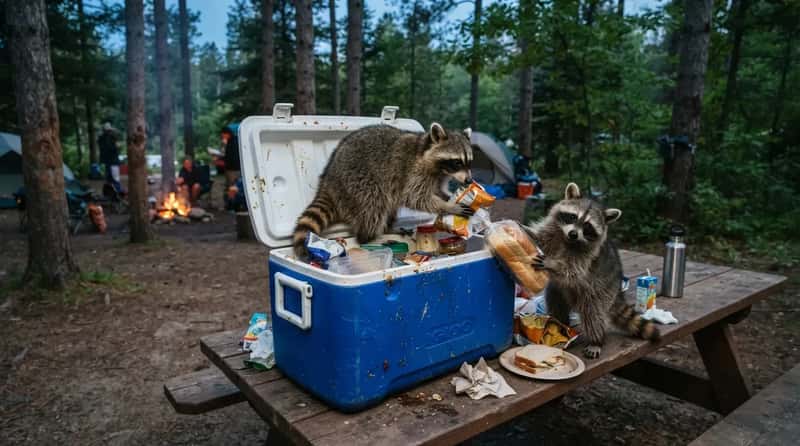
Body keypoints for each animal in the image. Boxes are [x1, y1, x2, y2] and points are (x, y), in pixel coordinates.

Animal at [292, 123, 474, 257]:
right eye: (457, 162)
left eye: (469, 162)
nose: (469, 180)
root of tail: (328, 180)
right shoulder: (413, 172)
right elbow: (415, 198)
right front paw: (449, 206)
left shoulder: (437, 177)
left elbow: (435, 192)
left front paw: (450, 197)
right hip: (357, 181)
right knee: (374, 205)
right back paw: (370, 237)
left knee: (388, 207)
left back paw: (389, 228)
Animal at [525, 183, 660, 359]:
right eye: (573, 217)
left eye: (587, 226)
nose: (573, 234)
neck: (567, 239)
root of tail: (617, 289)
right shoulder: (552, 231)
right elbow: (540, 238)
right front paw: (523, 229)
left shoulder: (587, 256)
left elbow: (573, 270)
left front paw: (553, 264)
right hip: (559, 290)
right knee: (555, 302)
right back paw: (559, 323)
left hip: (600, 291)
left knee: (593, 313)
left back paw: (596, 340)